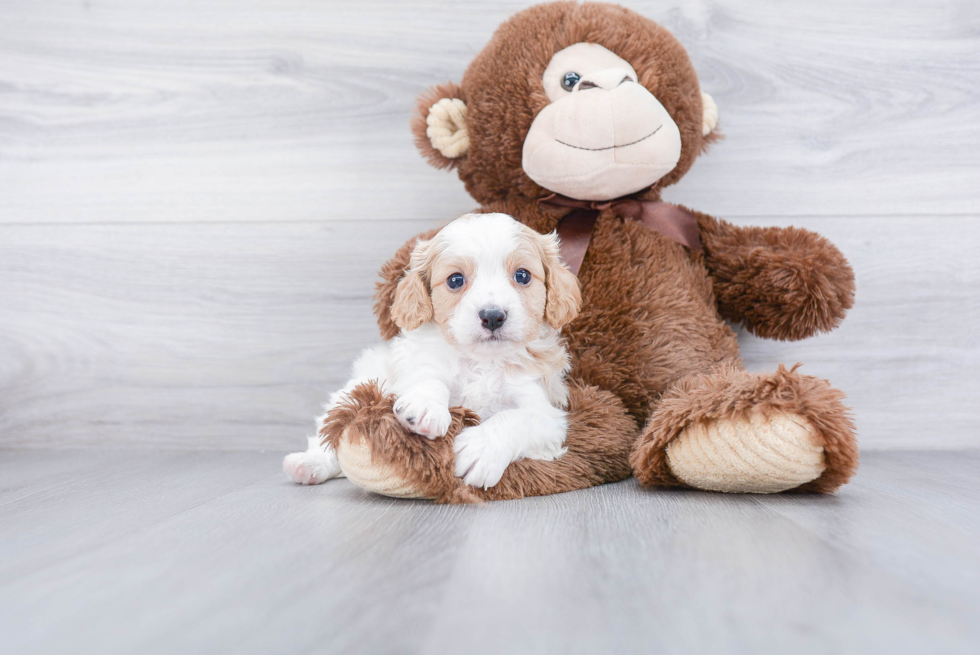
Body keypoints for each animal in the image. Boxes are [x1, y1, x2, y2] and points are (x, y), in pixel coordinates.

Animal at [280, 215, 580, 492]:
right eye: (455, 280)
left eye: (523, 275)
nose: (493, 316)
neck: (482, 362)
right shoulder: (419, 365)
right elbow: (429, 378)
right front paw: (424, 407)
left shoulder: (547, 412)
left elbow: (517, 418)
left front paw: (481, 449)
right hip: (356, 385)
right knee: (331, 431)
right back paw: (309, 464)